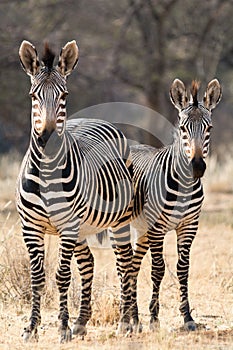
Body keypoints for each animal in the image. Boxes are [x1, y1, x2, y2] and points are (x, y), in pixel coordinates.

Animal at [16, 40, 135, 342]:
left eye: (64, 96)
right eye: (33, 95)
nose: (46, 138)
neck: (47, 172)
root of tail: (95, 119)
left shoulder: (68, 226)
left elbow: (61, 275)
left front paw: (61, 327)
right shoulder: (30, 227)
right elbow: (37, 276)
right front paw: (32, 328)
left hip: (119, 220)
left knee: (125, 262)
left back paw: (127, 322)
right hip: (82, 228)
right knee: (89, 262)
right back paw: (81, 322)